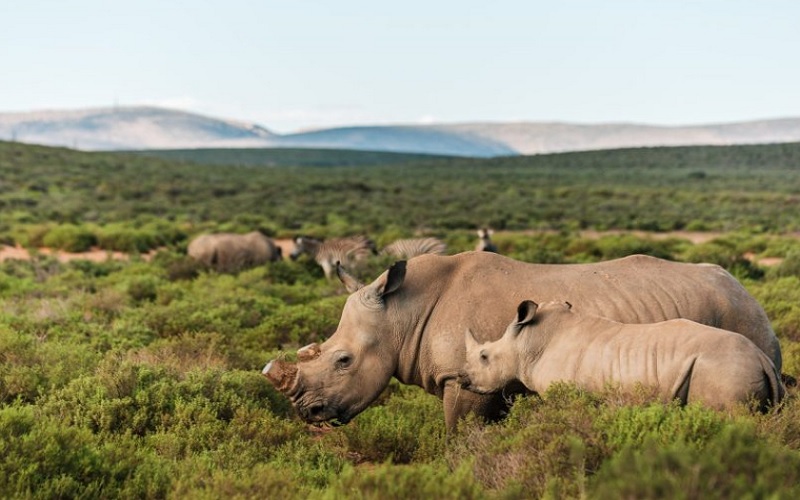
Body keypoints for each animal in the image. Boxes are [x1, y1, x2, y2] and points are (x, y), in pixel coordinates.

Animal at [460, 300, 784, 411]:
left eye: (484, 356)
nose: (462, 379)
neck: (526, 343)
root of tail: (761, 359)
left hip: (723, 368)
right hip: (741, 367)